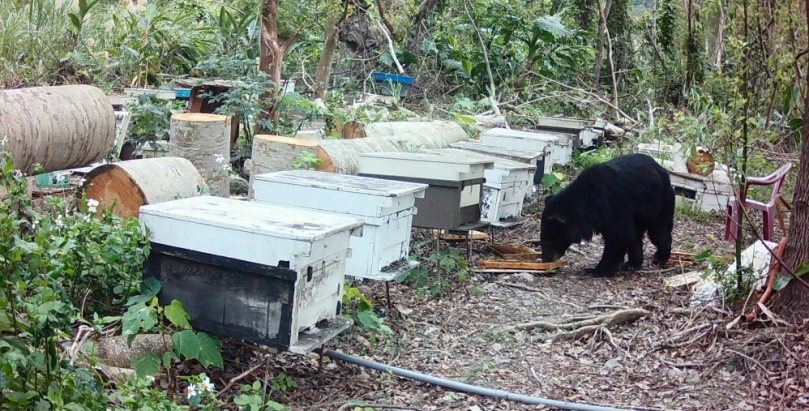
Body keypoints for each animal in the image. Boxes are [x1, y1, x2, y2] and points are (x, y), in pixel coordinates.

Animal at [544, 153, 676, 278]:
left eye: (549, 241)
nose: (546, 259)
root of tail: (664, 171)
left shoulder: (615, 204)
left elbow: (620, 236)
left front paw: (596, 270)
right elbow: (628, 236)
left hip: (661, 203)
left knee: (658, 232)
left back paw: (660, 258)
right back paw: (632, 264)